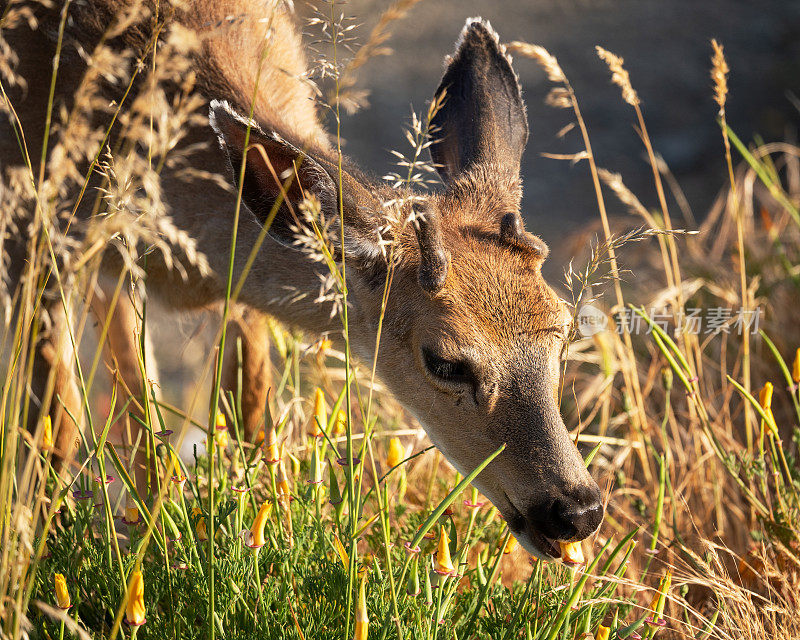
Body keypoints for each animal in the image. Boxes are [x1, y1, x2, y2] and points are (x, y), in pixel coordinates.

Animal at [3, 0, 604, 556]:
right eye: (445, 362)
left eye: (564, 329)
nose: (577, 509)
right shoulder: (35, 233)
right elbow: (52, 426)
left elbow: (249, 412)